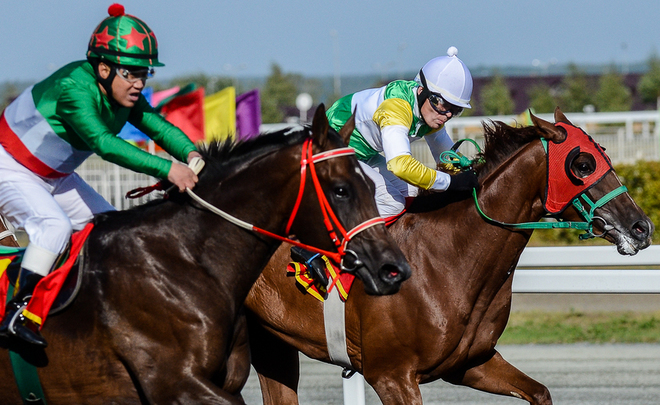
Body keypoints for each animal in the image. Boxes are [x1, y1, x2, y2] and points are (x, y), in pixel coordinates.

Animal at [0, 105, 410, 402]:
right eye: (341, 189)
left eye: (371, 183)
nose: (394, 268)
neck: (183, 262)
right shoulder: (173, 382)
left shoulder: (224, 382)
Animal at [242, 108, 648, 404]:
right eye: (582, 165)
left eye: (604, 155)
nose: (641, 227)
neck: (450, 259)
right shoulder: (391, 376)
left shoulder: (471, 363)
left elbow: (540, 393)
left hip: (271, 342)